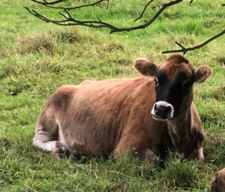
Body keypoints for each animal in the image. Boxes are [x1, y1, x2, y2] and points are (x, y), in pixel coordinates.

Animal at [33, 54, 211, 162]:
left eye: (186, 84)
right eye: (156, 80)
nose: (161, 108)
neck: (178, 141)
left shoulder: (197, 151)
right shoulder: (125, 150)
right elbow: (154, 160)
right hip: (49, 114)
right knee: (39, 139)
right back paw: (61, 147)